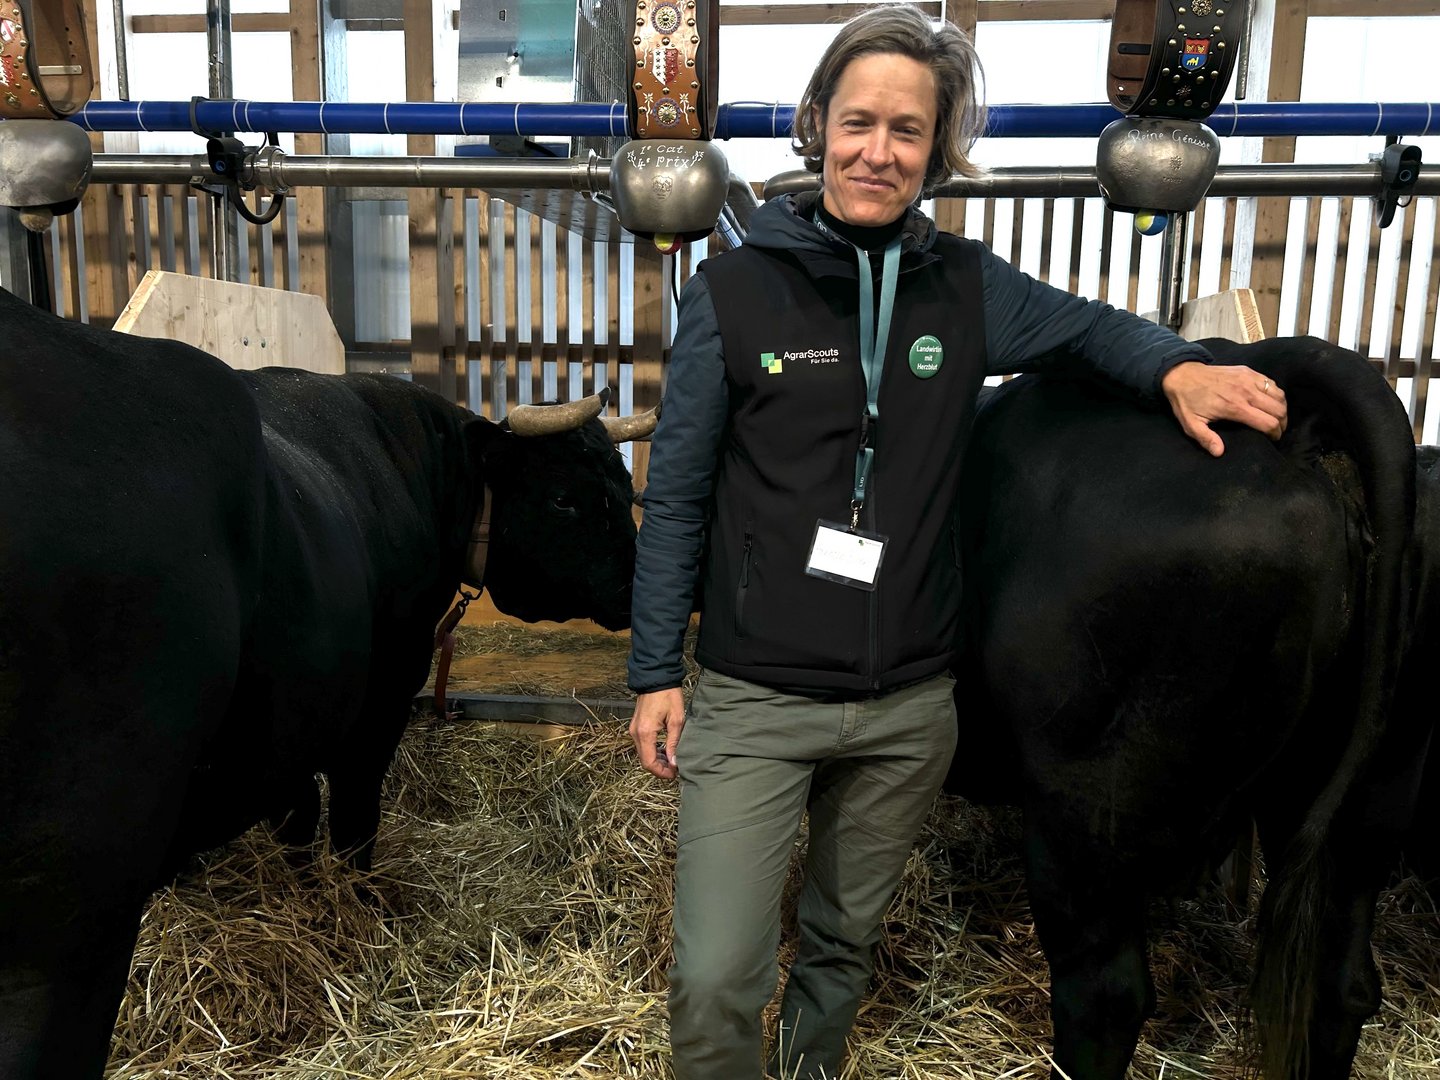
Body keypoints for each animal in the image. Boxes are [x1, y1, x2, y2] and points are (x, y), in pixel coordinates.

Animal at [0, 285, 651, 1080]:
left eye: (623, 485)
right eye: (565, 497)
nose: (642, 584)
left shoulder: (288, 718)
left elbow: (297, 818)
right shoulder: (378, 698)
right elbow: (350, 819)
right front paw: (358, 910)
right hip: (65, 899)